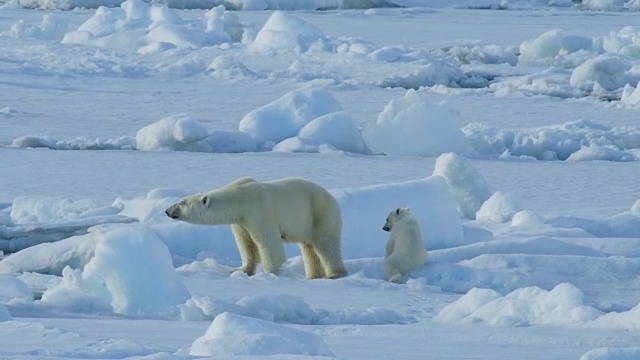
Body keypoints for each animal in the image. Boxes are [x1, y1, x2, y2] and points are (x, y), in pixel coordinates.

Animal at [164, 176, 344, 278]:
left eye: (181, 203)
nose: (167, 210)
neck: (239, 198)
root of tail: (333, 199)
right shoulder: (241, 221)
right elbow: (246, 245)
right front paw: (240, 270)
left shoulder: (258, 211)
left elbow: (268, 242)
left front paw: (269, 273)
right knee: (309, 249)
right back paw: (313, 276)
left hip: (320, 214)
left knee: (326, 246)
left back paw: (334, 273)